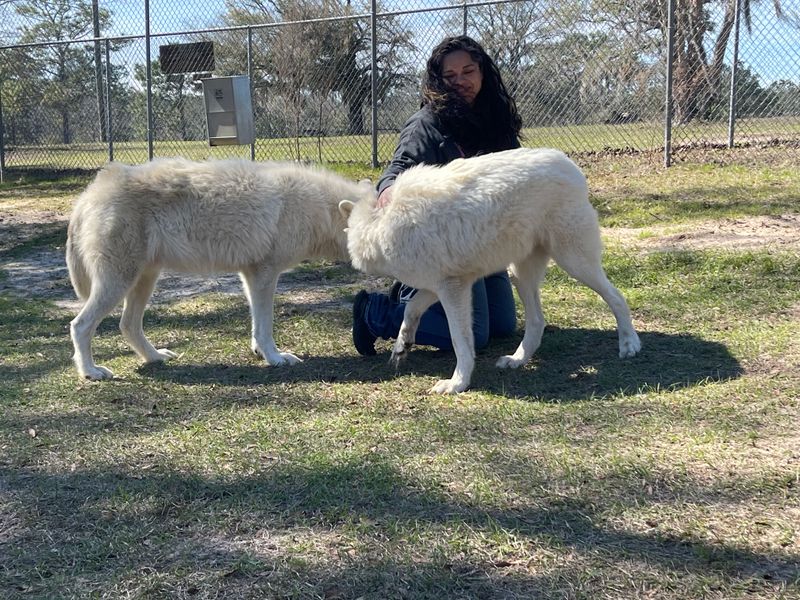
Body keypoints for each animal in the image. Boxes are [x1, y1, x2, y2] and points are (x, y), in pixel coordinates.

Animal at [67, 157, 369, 380]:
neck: (316, 208)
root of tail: (89, 194)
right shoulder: (265, 274)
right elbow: (266, 326)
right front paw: (275, 358)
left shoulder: (250, 275)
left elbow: (257, 324)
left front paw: (260, 353)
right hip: (119, 282)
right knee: (80, 325)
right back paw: (91, 372)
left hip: (144, 280)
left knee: (128, 325)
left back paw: (155, 357)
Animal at [339, 147, 642, 394]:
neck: (382, 225)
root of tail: (570, 166)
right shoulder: (436, 286)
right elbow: (411, 310)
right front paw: (402, 346)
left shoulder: (453, 288)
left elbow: (460, 341)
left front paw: (457, 383)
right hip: (521, 275)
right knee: (537, 322)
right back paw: (516, 360)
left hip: (574, 263)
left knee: (617, 297)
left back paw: (629, 344)